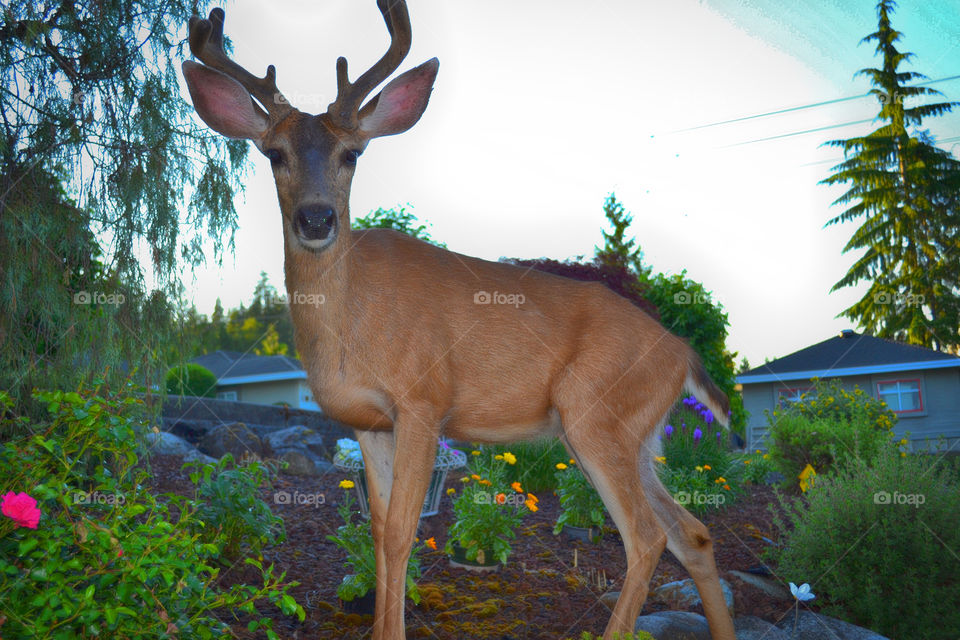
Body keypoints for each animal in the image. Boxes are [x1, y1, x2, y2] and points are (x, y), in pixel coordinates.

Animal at [181, 3, 736, 639]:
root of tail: (682, 351)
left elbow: (403, 532)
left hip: (594, 414)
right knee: (692, 532)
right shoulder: (368, 423)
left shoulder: (424, 400)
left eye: (352, 154)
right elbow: (378, 530)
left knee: (645, 537)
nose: (316, 219)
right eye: (274, 154)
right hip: (638, 433)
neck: (348, 329)